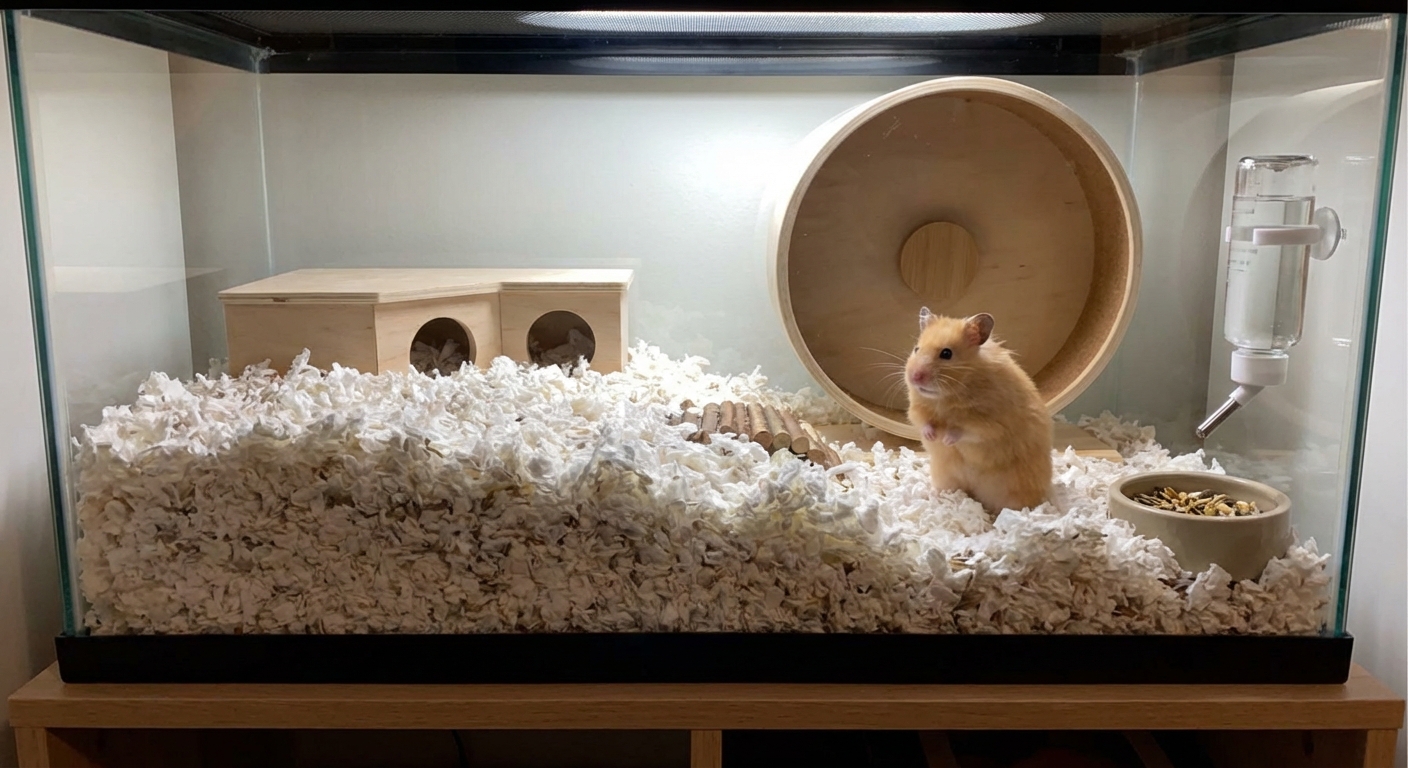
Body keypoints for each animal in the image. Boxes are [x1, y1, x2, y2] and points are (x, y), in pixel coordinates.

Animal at [904, 308, 1053, 513]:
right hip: (945, 476)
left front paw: (947, 439)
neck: (945, 396)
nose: (915, 377)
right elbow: (923, 421)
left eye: (946, 353)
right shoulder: (916, 409)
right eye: (916, 349)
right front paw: (932, 436)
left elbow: (965, 430)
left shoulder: (989, 422)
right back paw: (934, 496)